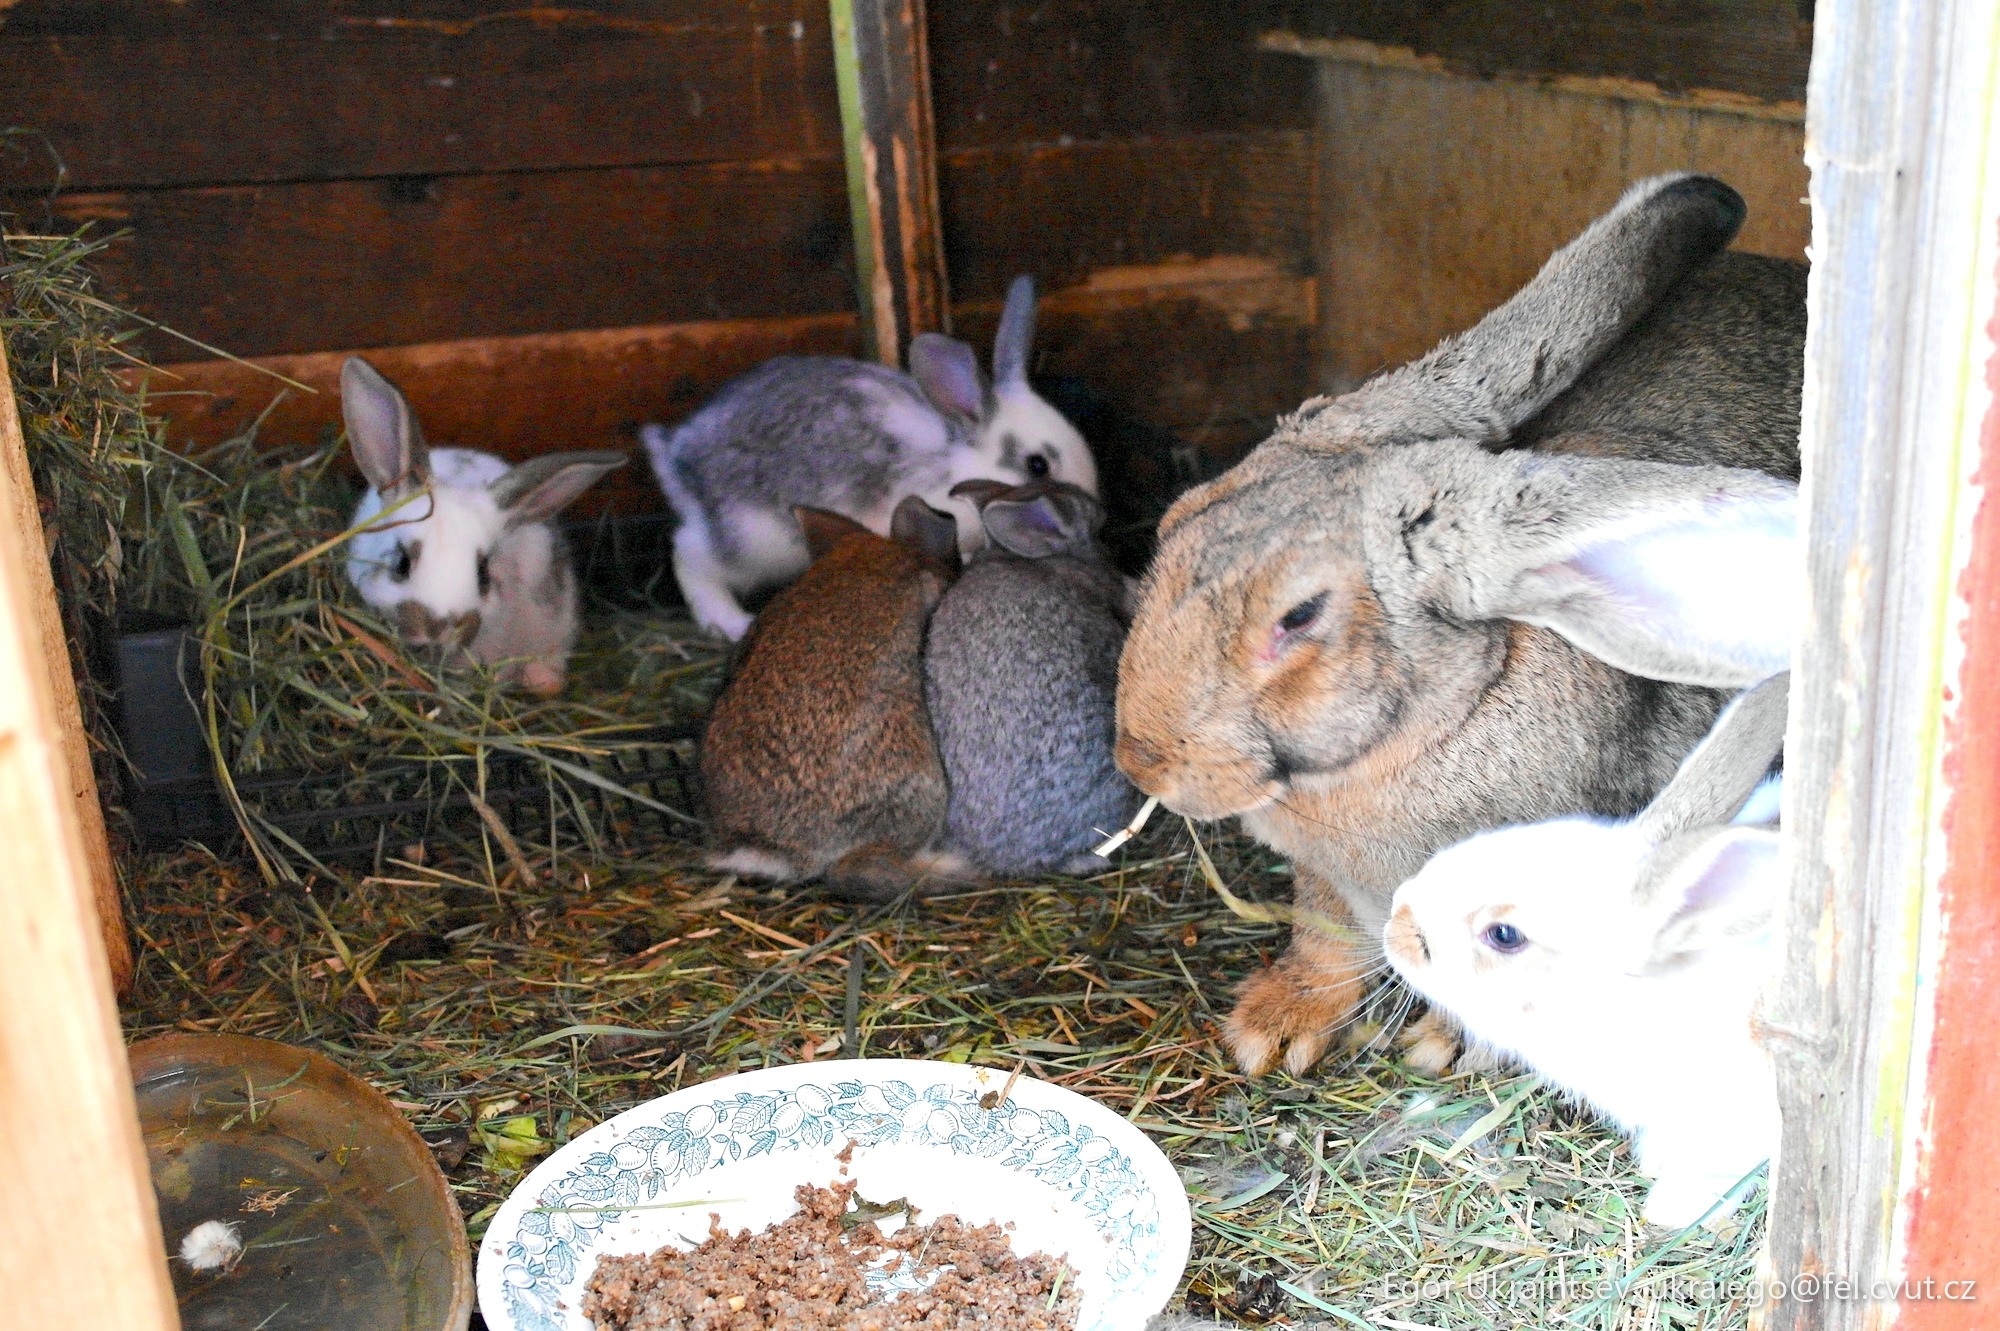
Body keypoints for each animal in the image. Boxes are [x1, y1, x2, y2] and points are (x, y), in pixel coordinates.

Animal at [644, 274, 1099, 641]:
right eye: (1037, 465)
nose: (1095, 513)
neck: (955, 462)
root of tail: (677, 451)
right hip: (752, 539)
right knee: (690, 555)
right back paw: (731, 623)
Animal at [1113, 173, 1807, 1077]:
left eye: (1298, 615)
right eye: (1173, 524)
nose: (1138, 760)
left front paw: (1444, 1043)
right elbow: (1328, 933)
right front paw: (1275, 1026)